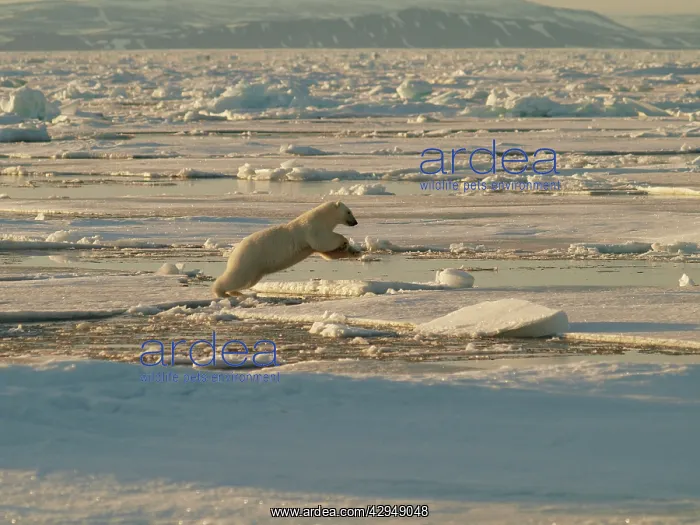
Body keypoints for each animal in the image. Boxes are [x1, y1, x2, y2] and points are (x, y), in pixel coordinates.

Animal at [212, 201, 360, 298]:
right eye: (349, 211)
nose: (355, 222)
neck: (322, 217)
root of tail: (235, 251)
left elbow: (326, 253)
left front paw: (354, 251)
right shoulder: (312, 228)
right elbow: (323, 242)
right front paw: (344, 241)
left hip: (255, 269)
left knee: (248, 281)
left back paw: (236, 292)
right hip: (250, 259)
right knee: (237, 277)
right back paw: (221, 292)